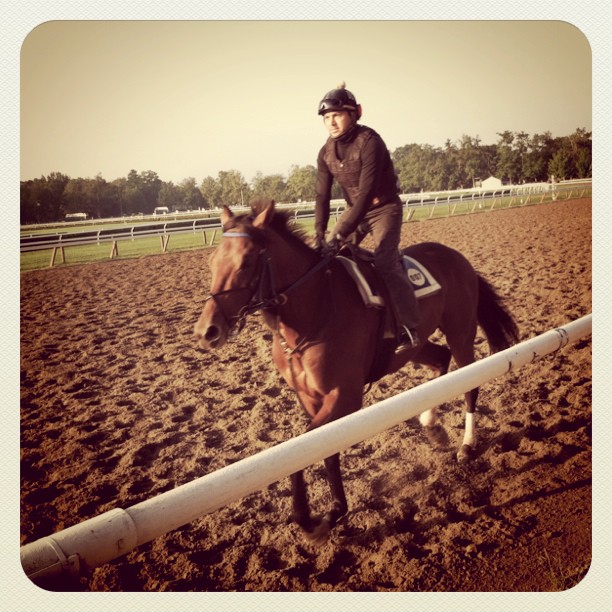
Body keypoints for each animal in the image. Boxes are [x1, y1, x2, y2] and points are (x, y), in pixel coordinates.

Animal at [194, 198, 520, 536]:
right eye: (212, 261)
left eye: (246, 262)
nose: (207, 331)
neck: (316, 308)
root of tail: (456, 256)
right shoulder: (310, 397)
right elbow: (318, 449)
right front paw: (334, 511)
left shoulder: (345, 396)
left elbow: (302, 450)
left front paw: (309, 516)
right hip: (412, 348)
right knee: (441, 360)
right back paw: (432, 426)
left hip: (461, 332)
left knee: (469, 384)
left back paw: (467, 445)